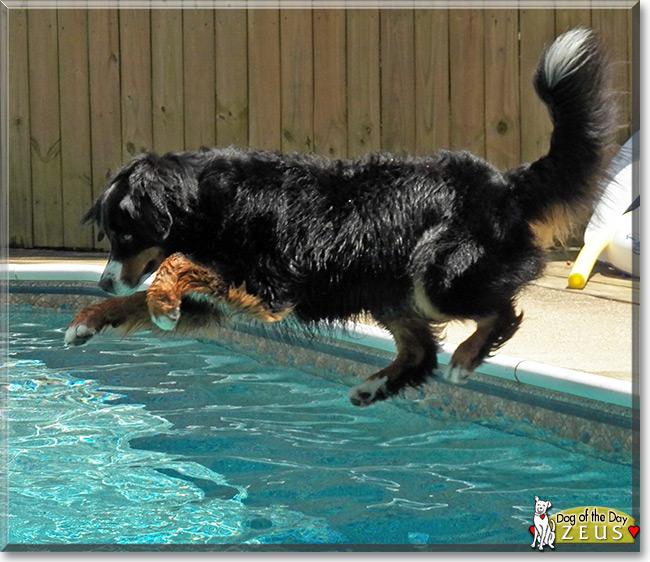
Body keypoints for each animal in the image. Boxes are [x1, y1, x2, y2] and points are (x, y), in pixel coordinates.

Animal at [64, 28, 612, 404]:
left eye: (124, 234)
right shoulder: (227, 298)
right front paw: (89, 320)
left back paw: (464, 359)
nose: (103, 281)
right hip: (388, 289)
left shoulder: (269, 286)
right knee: (420, 351)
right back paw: (375, 387)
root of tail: (503, 181)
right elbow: (141, 298)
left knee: (498, 312)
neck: (216, 201)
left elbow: (175, 265)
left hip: (439, 276)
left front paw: (159, 301)